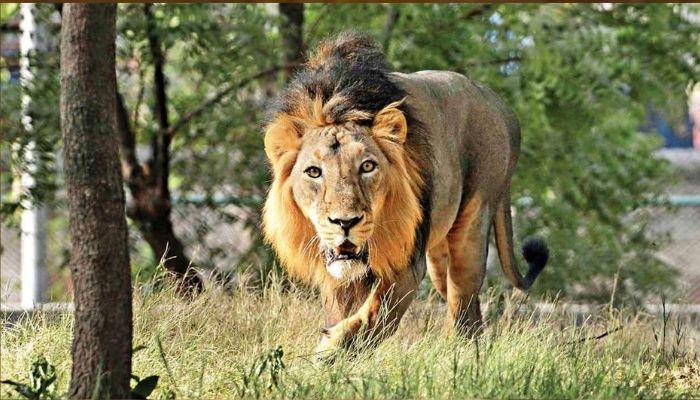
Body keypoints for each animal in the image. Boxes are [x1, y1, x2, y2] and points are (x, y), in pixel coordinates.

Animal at [262, 32, 549, 357]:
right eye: (313, 172)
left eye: (367, 166)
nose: (345, 222)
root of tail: (501, 105)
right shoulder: (334, 273)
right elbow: (343, 311)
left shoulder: (407, 263)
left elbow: (375, 315)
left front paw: (331, 349)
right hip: (438, 255)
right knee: (468, 306)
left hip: (474, 221)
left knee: (461, 297)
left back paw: (453, 353)